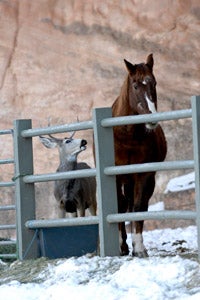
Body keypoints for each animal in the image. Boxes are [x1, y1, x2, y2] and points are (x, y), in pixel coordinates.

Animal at [112, 53, 167, 255]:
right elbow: (118, 206)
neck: (128, 136)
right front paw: (121, 245)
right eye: (135, 85)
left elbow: (138, 206)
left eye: (154, 83)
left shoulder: (143, 175)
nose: (152, 118)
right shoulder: (115, 176)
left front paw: (139, 247)